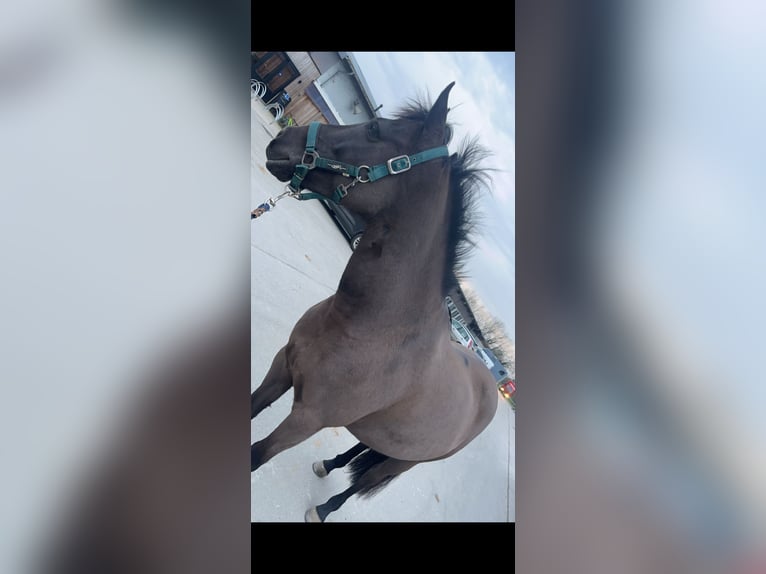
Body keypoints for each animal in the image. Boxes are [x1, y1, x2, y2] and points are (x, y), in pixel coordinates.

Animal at [251, 82, 499, 522]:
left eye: (373, 129)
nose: (284, 138)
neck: (371, 328)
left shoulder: (306, 420)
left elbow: (256, 455)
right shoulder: (281, 368)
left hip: (407, 461)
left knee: (367, 479)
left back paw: (325, 508)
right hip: (394, 439)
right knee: (360, 449)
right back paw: (327, 465)